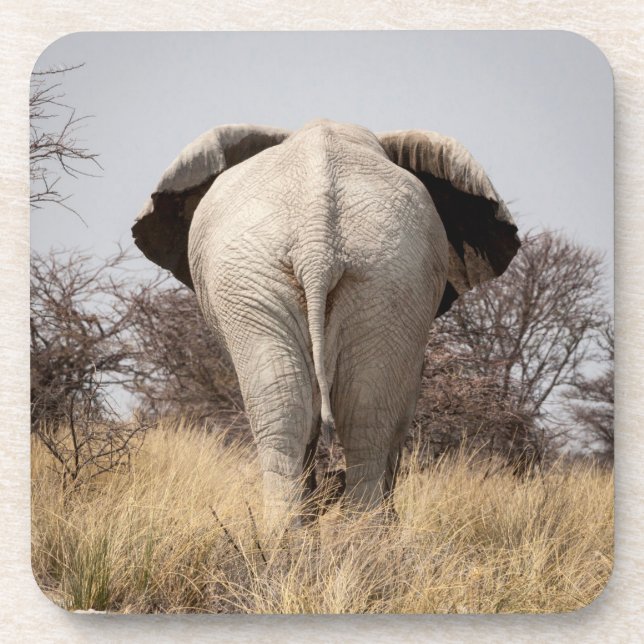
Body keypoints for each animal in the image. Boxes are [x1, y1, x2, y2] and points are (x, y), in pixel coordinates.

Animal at [132, 119, 519, 527]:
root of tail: (317, 240)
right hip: (291, 277)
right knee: (344, 413)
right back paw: (339, 533)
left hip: (370, 277)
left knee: (323, 410)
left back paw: (311, 533)